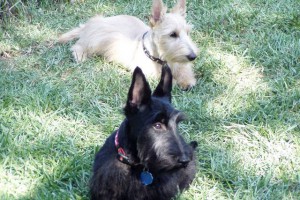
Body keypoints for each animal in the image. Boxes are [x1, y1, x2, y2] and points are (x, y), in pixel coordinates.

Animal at [58, 0, 199, 89]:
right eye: (173, 34)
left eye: (188, 32)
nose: (193, 56)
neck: (160, 57)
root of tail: (93, 22)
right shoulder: (149, 72)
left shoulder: (179, 64)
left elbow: (184, 71)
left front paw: (187, 81)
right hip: (98, 40)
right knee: (78, 45)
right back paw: (80, 57)